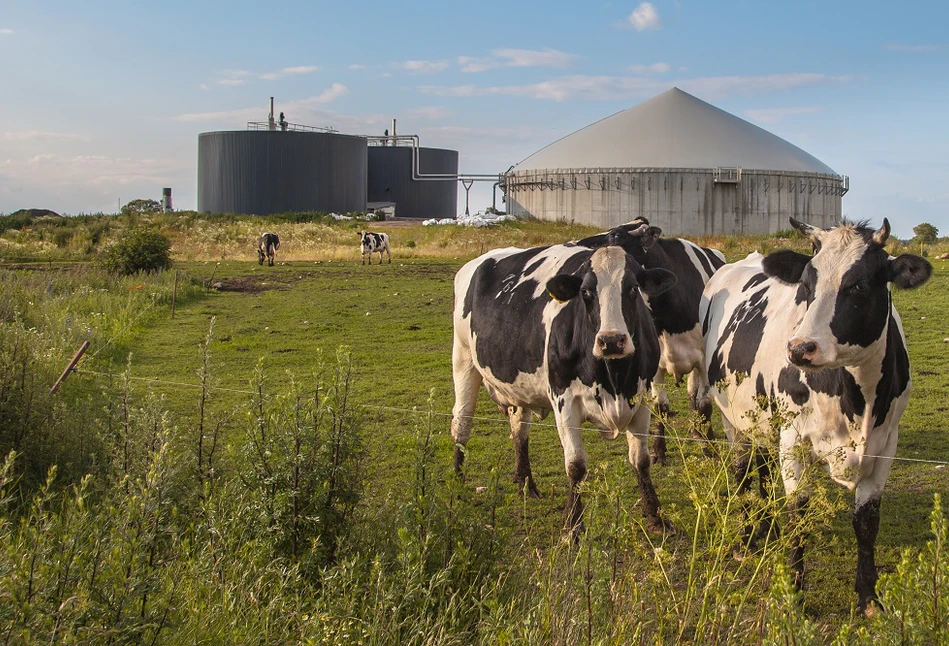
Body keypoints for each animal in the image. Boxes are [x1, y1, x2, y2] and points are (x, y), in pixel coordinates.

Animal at [450, 238, 676, 536]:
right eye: (585, 291)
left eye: (632, 288)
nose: (611, 341)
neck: (613, 379)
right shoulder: (564, 401)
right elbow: (576, 466)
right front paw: (573, 526)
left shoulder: (641, 398)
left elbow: (641, 461)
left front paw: (657, 517)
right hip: (463, 358)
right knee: (461, 422)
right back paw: (457, 483)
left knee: (519, 430)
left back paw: (525, 483)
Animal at [576, 219, 724, 466]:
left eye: (616, 236)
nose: (580, 246)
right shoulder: (655, 364)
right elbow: (660, 407)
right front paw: (658, 451)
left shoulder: (704, 360)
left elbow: (704, 404)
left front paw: (709, 448)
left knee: (695, 395)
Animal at [700, 218, 928, 612]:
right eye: (806, 284)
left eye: (858, 284)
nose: (800, 348)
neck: (856, 400)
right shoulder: (793, 441)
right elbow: (798, 515)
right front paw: (793, 593)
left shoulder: (886, 445)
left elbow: (867, 521)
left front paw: (868, 596)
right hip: (733, 419)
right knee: (742, 473)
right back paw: (746, 539)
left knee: (762, 466)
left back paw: (766, 528)